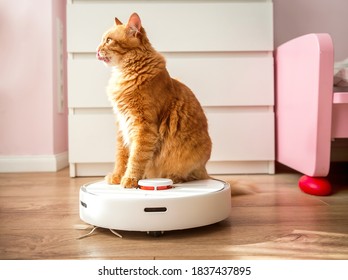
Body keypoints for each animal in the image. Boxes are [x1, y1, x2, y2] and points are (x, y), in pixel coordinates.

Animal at [96, 13, 212, 188]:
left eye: (108, 40)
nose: (96, 50)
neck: (126, 73)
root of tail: (204, 169)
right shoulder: (122, 125)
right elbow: (122, 156)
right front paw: (117, 176)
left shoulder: (144, 126)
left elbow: (136, 158)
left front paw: (130, 179)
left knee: (191, 177)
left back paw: (173, 178)